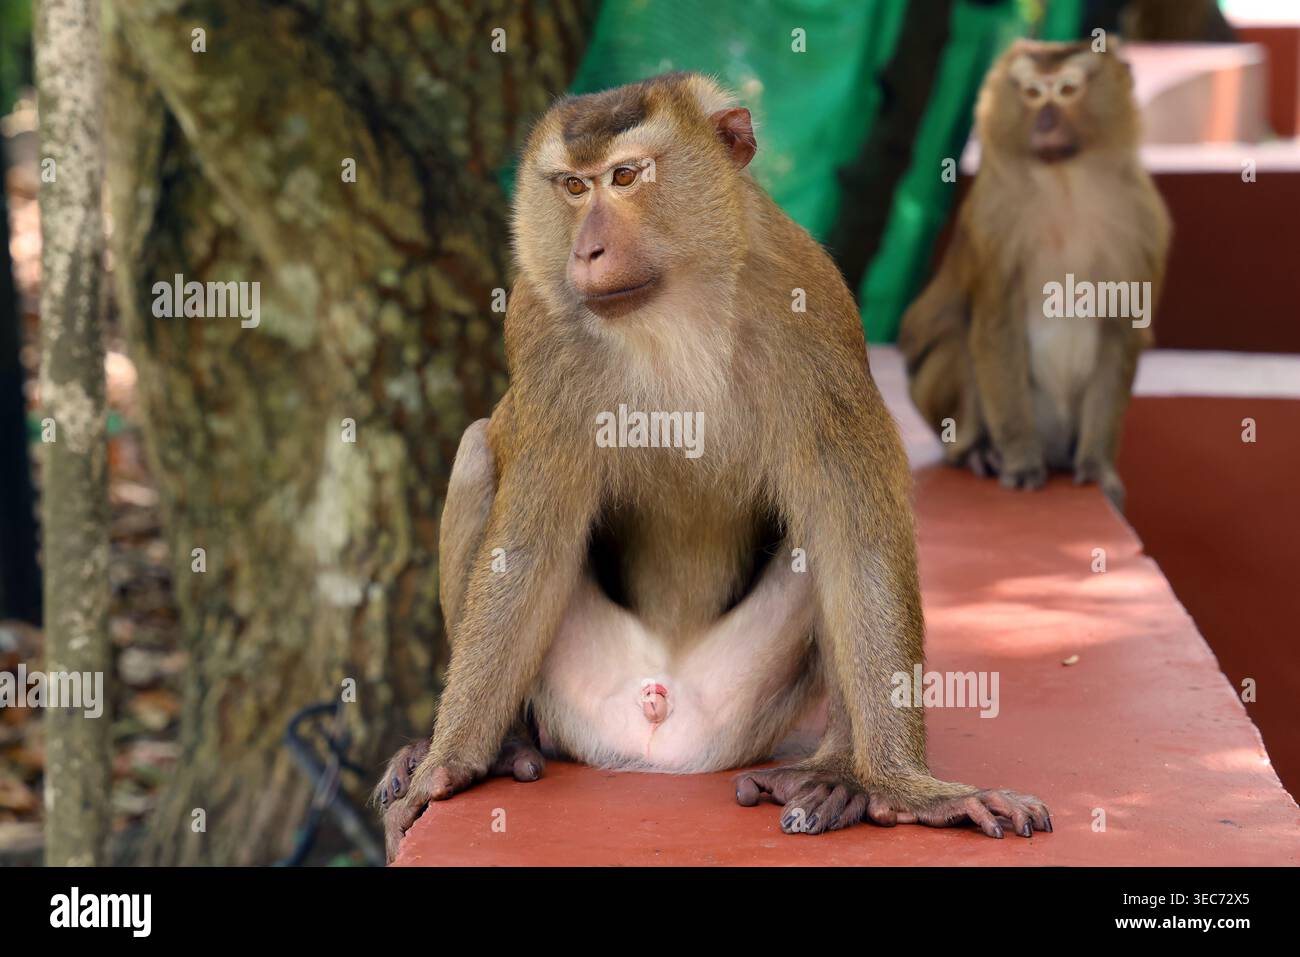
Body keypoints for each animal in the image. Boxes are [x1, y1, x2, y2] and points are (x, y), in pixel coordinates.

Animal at [375, 72, 1050, 862]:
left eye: (626, 177)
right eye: (573, 186)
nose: (587, 250)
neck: (671, 310)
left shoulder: (811, 308)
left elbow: (855, 537)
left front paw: (907, 787)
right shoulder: (540, 331)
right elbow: (529, 548)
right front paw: (447, 762)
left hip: (743, 709)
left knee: (824, 530)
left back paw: (837, 774)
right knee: (479, 448)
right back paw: (507, 741)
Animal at [899, 40, 1170, 511]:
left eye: (1065, 91)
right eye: (1031, 93)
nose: (1044, 121)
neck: (1065, 183)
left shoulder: (1143, 223)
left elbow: (1122, 330)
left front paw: (1098, 467)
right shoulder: (993, 218)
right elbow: (994, 326)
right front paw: (1021, 459)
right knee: (953, 341)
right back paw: (977, 451)